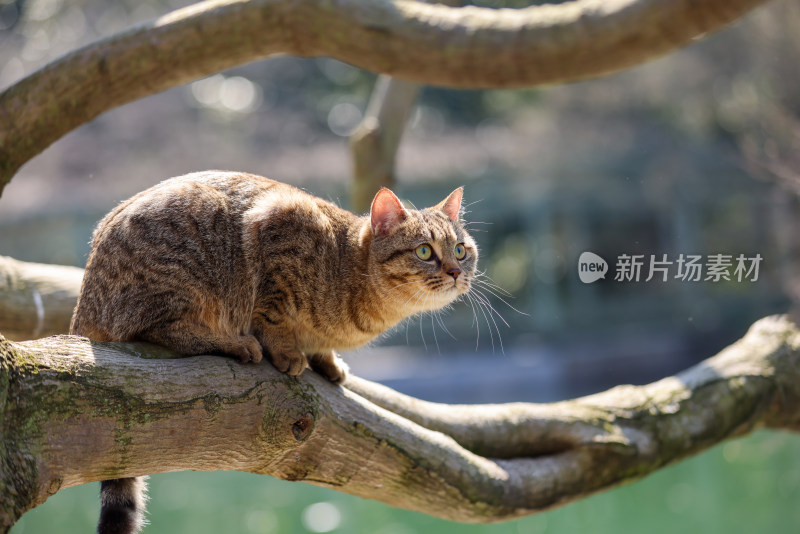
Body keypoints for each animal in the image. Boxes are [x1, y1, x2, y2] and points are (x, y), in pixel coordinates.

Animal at [69, 171, 476, 534]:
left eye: (461, 249)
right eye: (424, 251)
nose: (456, 271)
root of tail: (83, 306)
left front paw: (327, 362)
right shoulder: (279, 230)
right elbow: (272, 315)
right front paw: (287, 350)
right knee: (164, 328)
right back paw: (233, 342)